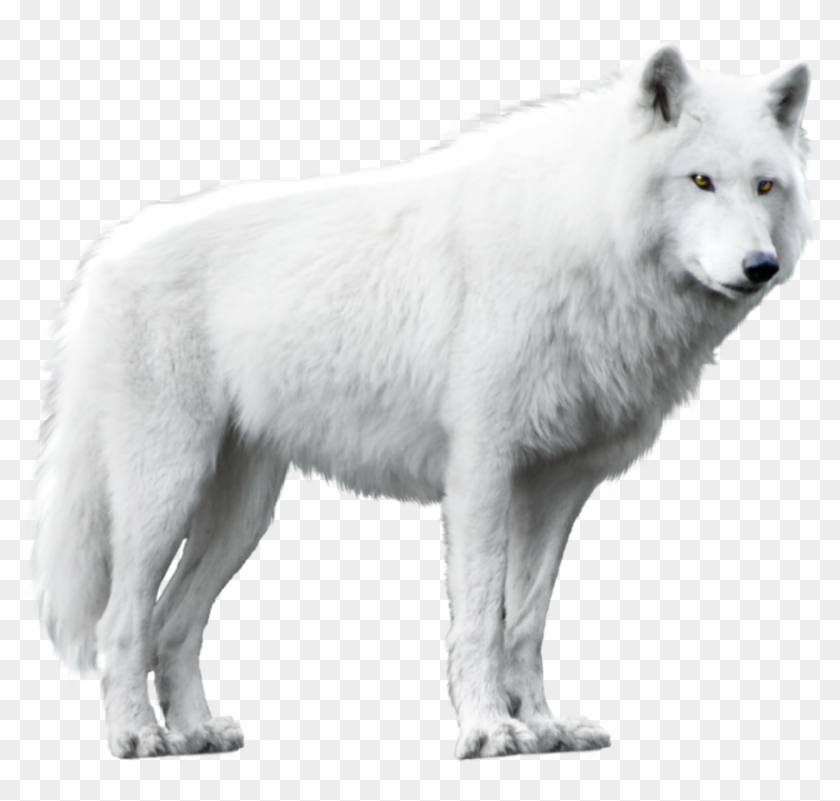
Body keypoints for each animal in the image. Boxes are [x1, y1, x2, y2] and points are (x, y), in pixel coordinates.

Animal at [34, 47, 811, 759]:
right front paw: (489, 730)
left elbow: (527, 621)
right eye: (701, 180)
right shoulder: (481, 473)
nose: (760, 267)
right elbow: (482, 617)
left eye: (765, 186)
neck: (584, 236)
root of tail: (106, 257)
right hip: (166, 491)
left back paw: (196, 732)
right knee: (122, 621)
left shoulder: (556, 486)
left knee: (174, 622)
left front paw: (544, 727)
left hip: (243, 516)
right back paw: (136, 736)